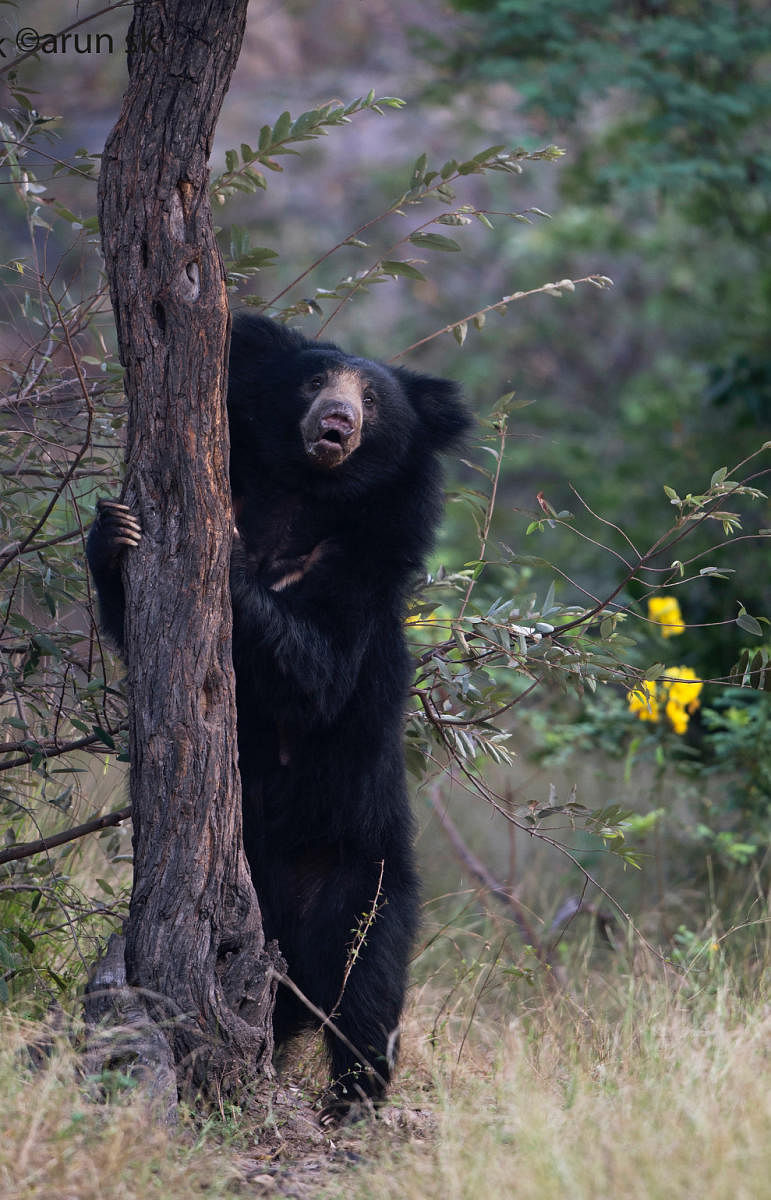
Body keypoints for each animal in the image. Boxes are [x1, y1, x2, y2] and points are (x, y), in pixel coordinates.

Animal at [85, 314, 468, 1118]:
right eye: (313, 380)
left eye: (373, 401)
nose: (338, 421)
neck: (304, 496)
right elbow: (128, 618)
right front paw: (116, 527)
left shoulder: (362, 572)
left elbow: (316, 676)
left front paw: (224, 554)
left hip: (362, 881)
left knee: (365, 994)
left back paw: (351, 1103)